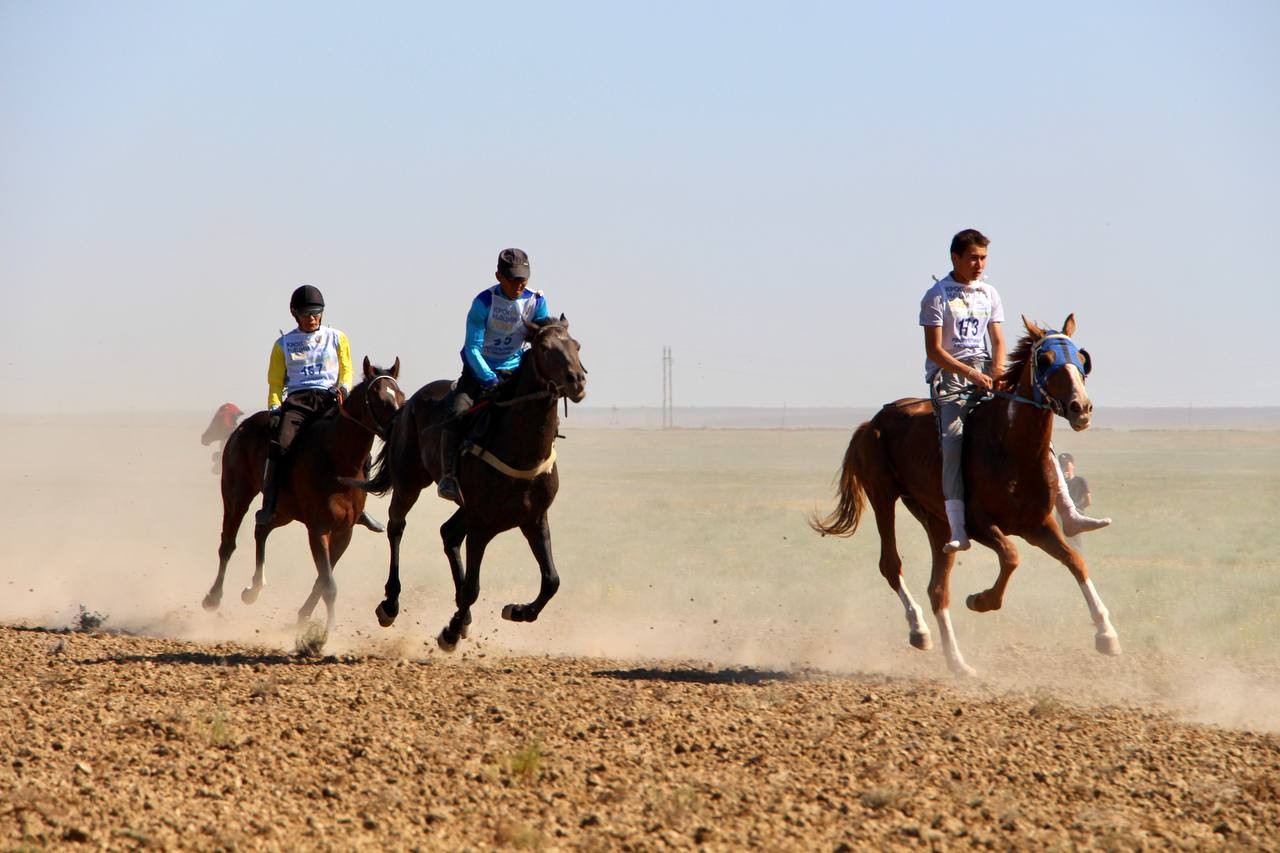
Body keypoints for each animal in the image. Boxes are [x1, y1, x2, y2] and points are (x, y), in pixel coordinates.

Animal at [202, 356, 401, 635]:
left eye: (401, 396)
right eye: (380, 398)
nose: (399, 430)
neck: (338, 460)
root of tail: (241, 428)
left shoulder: (344, 531)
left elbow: (323, 579)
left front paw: (303, 618)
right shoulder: (318, 529)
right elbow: (328, 584)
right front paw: (322, 635)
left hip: (283, 510)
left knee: (261, 526)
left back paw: (254, 589)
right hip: (236, 494)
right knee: (228, 543)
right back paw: (213, 597)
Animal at [355, 315, 586, 648]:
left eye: (576, 345)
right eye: (544, 348)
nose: (577, 381)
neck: (519, 450)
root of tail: (406, 406)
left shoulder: (533, 518)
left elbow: (551, 581)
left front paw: (516, 610)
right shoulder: (482, 524)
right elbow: (473, 587)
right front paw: (450, 632)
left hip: (466, 507)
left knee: (448, 533)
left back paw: (463, 618)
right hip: (411, 482)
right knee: (397, 526)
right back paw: (390, 604)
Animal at [808, 315, 1121, 676]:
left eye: (1082, 359)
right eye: (1044, 360)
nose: (1081, 407)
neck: (1009, 448)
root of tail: (871, 422)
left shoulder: (1038, 525)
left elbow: (1075, 561)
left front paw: (1107, 634)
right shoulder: (980, 525)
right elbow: (1011, 556)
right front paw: (981, 600)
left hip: (937, 521)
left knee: (937, 589)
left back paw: (958, 664)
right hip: (883, 495)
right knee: (891, 565)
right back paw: (919, 630)